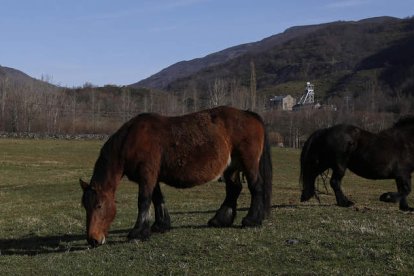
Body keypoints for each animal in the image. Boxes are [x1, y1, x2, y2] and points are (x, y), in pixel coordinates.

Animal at [79, 105, 274, 246]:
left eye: (98, 206)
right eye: (85, 207)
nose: (93, 240)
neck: (132, 139)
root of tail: (248, 114)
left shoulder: (147, 175)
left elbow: (144, 200)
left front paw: (138, 233)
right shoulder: (152, 177)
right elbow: (157, 198)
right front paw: (161, 225)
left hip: (248, 164)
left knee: (256, 187)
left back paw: (252, 220)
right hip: (231, 167)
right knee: (234, 189)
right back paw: (220, 220)